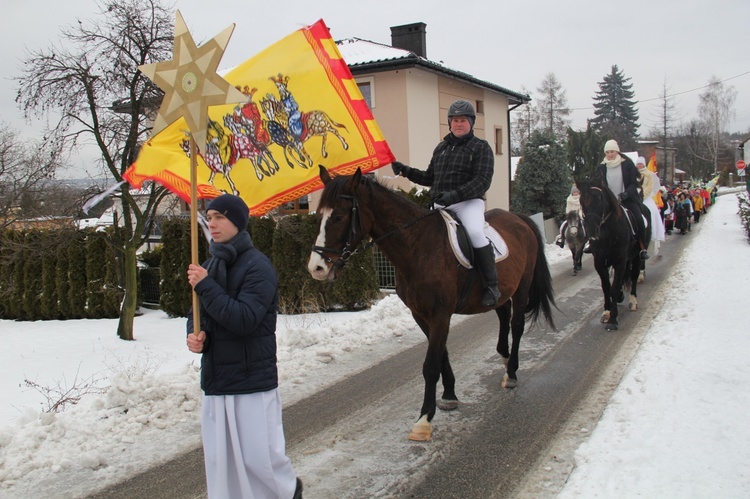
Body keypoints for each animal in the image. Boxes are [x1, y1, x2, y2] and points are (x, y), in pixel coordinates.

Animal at [306, 168, 560, 442]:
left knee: (517, 324)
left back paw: (511, 372)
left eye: (339, 216)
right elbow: (441, 355)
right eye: (319, 216)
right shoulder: (421, 314)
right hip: (502, 291)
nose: (316, 268)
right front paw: (449, 395)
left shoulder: (440, 314)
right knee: (503, 316)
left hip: (522, 288)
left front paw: (424, 420)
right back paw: (503, 357)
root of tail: (519, 219)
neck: (418, 246)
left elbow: (430, 365)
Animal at [580, 178, 648, 330]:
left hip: (636, 257)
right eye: (582, 202)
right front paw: (607, 312)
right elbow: (606, 287)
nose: (591, 231)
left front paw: (613, 319)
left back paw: (633, 301)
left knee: (634, 276)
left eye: (600, 200)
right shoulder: (600, 262)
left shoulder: (620, 260)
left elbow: (614, 288)